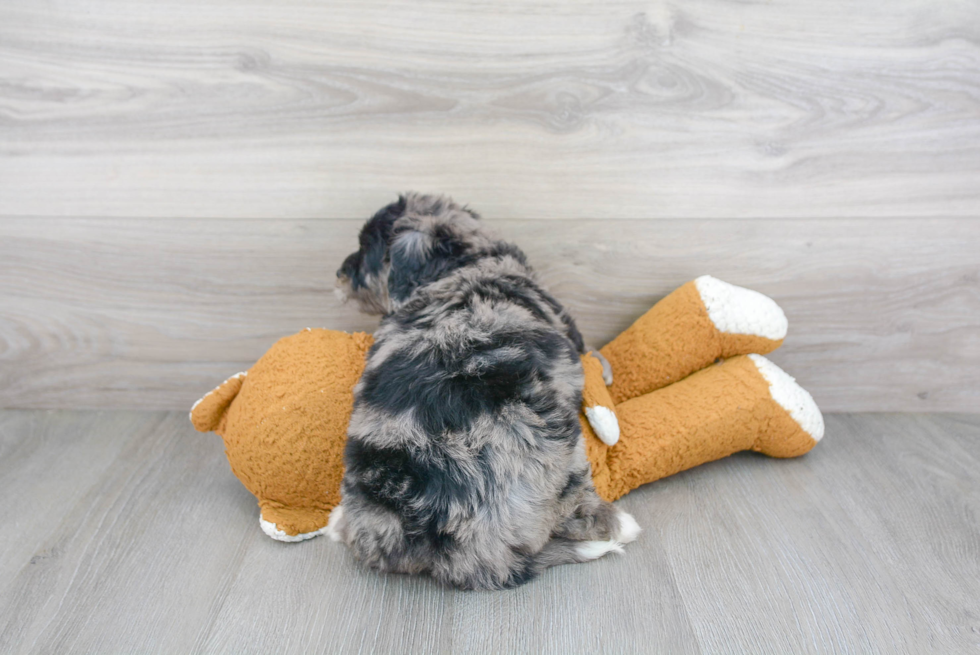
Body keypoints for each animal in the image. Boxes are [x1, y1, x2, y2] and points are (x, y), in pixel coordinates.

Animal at [326, 193, 640, 588]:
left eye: (365, 251)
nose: (338, 274)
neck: (461, 265)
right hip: (562, 446)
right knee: (580, 510)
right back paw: (619, 524)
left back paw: (336, 521)